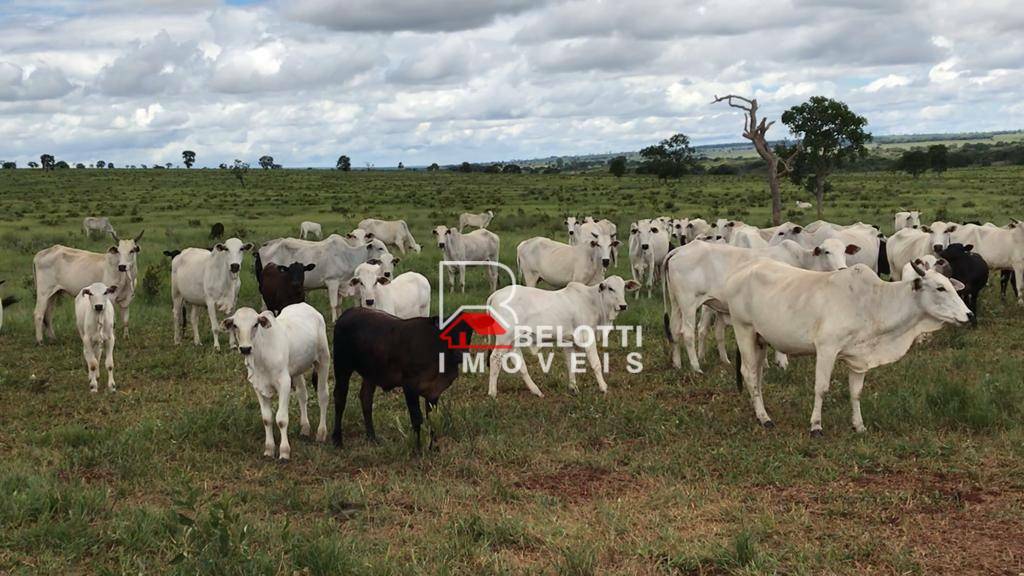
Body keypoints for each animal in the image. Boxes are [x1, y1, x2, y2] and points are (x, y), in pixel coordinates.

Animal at [221, 303, 329, 459]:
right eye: (235, 325)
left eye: (255, 324)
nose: (245, 348)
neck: (261, 356)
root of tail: (306, 306)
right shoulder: (258, 387)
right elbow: (267, 419)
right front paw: (269, 449)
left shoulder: (284, 383)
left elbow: (281, 419)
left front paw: (284, 452)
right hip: (297, 370)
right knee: (302, 395)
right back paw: (305, 429)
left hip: (323, 359)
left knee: (323, 396)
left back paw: (321, 433)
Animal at [260, 234, 391, 323]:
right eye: (380, 248)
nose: (390, 256)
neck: (347, 256)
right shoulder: (332, 282)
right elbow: (333, 304)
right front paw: (334, 321)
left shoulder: (341, 284)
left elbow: (339, 305)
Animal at [333, 307, 477, 450]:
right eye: (448, 332)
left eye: (468, 331)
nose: (461, 354)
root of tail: (349, 312)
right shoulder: (410, 386)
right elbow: (417, 418)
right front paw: (418, 449)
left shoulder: (434, 391)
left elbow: (432, 419)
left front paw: (433, 447)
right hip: (342, 366)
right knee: (340, 398)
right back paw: (337, 440)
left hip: (370, 373)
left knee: (366, 399)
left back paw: (372, 437)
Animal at [481, 272, 634, 393]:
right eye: (610, 288)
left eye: (624, 288)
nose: (623, 306)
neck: (593, 301)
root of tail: (495, 294)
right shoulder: (587, 338)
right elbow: (596, 363)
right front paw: (603, 387)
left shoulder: (568, 341)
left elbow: (571, 364)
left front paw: (573, 388)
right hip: (504, 338)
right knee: (495, 358)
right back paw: (493, 393)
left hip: (513, 340)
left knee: (518, 362)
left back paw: (536, 391)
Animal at [724, 258, 970, 432]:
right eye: (940, 288)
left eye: (951, 286)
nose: (969, 314)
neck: (874, 302)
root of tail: (743, 271)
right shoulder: (826, 349)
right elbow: (821, 388)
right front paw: (816, 425)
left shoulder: (858, 358)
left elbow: (856, 393)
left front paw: (859, 425)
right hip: (743, 330)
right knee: (749, 374)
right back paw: (764, 418)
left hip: (760, 339)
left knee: (757, 376)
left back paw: (760, 412)